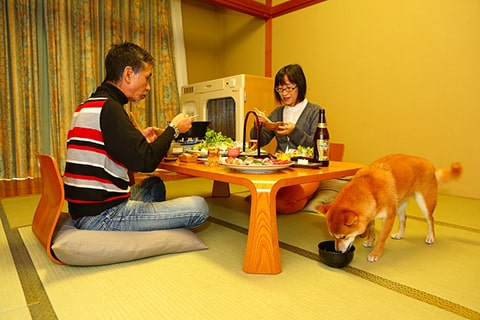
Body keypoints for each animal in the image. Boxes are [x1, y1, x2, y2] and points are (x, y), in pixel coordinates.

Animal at [318, 155, 462, 262]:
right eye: (333, 236)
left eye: (343, 237)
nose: (337, 251)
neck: (370, 189)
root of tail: (431, 165)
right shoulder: (370, 214)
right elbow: (371, 230)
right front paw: (369, 241)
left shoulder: (389, 217)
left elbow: (381, 238)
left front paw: (375, 254)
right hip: (400, 204)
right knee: (404, 218)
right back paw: (399, 234)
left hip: (424, 202)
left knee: (430, 220)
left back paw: (430, 237)